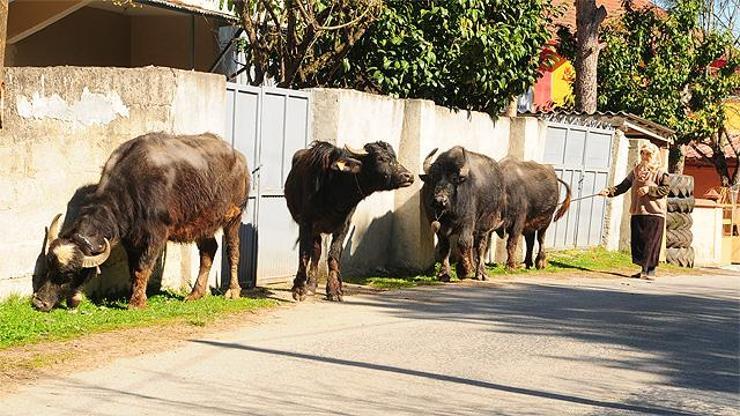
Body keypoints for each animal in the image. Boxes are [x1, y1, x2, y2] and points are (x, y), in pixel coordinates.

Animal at [31, 133, 250, 312]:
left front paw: (137, 302)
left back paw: (232, 291)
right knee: (209, 250)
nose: (39, 302)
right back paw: (195, 293)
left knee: (232, 251)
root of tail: (240, 158)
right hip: (202, 223)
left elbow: (143, 266)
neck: (132, 191)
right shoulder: (130, 239)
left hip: (233, 217)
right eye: (49, 265)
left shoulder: (157, 235)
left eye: (68, 274)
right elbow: (133, 268)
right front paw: (134, 294)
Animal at [284, 141, 414, 300]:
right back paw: (309, 286)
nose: (409, 176)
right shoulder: (306, 223)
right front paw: (299, 289)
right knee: (315, 251)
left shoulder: (343, 226)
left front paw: (334, 290)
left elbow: (333, 256)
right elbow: (304, 254)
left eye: (394, 157)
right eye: (380, 158)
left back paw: (312, 285)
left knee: (317, 251)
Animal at [420, 145, 506, 282]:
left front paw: (463, 270)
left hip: (485, 226)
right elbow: (444, 247)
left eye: (454, 178)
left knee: (481, 247)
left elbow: (463, 242)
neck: (450, 211)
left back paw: (481, 273)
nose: (439, 200)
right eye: (433, 178)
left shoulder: (467, 222)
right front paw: (443, 274)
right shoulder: (436, 224)